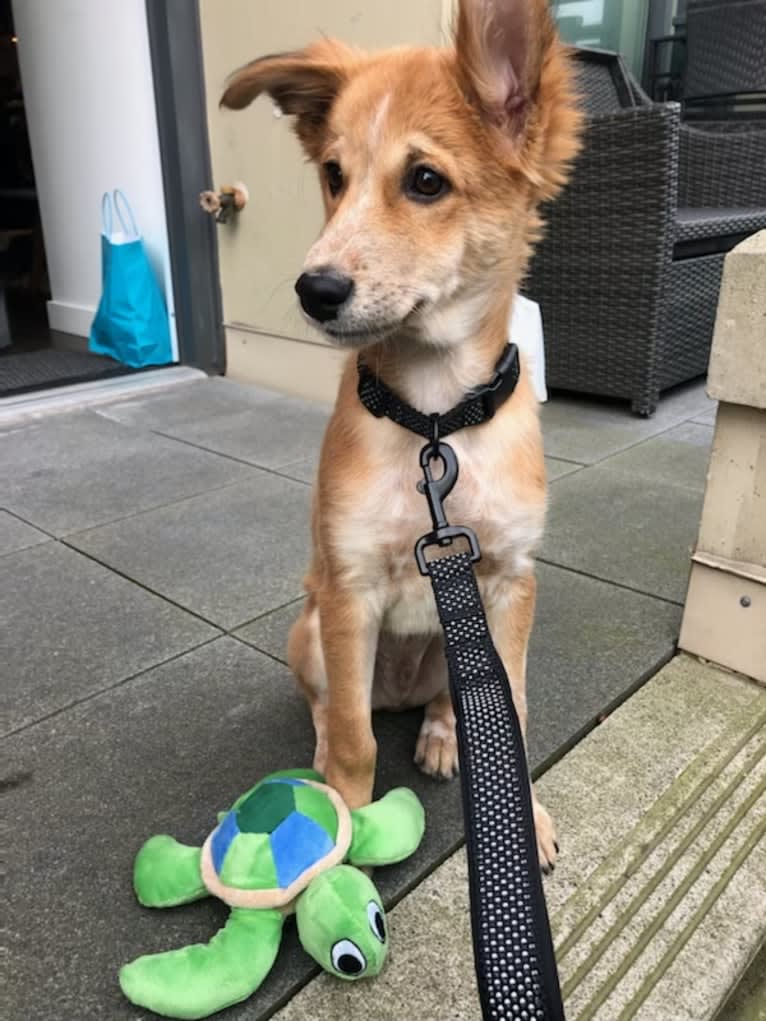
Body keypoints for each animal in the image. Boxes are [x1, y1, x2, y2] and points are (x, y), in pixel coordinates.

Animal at [221, 0, 580, 869]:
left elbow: (513, 712)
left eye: (425, 181)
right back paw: (322, 755)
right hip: (311, 630)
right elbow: (356, 738)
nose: (314, 289)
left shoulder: (510, 580)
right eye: (333, 175)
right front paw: (343, 829)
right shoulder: (348, 588)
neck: (436, 421)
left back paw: (446, 733)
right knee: (330, 706)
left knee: (454, 701)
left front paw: (528, 817)